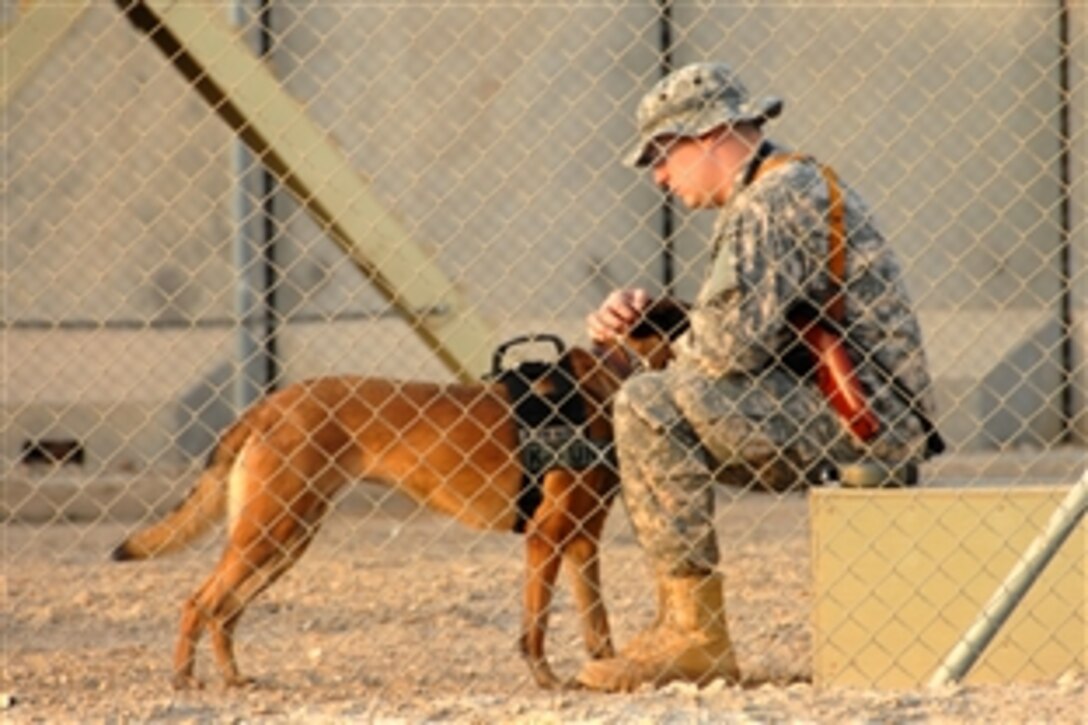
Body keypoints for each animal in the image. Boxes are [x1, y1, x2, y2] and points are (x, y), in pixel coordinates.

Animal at [112, 302, 687, 692]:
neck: (613, 377)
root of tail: (271, 403)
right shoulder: (546, 538)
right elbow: (536, 627)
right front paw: (547, 681)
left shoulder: (583, 542)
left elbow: (598, 625)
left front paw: (608, 672)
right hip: (270, 531)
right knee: (200, 601)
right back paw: (186, 680)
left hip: (285, 537)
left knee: (225, 611)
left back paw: (233, 678)